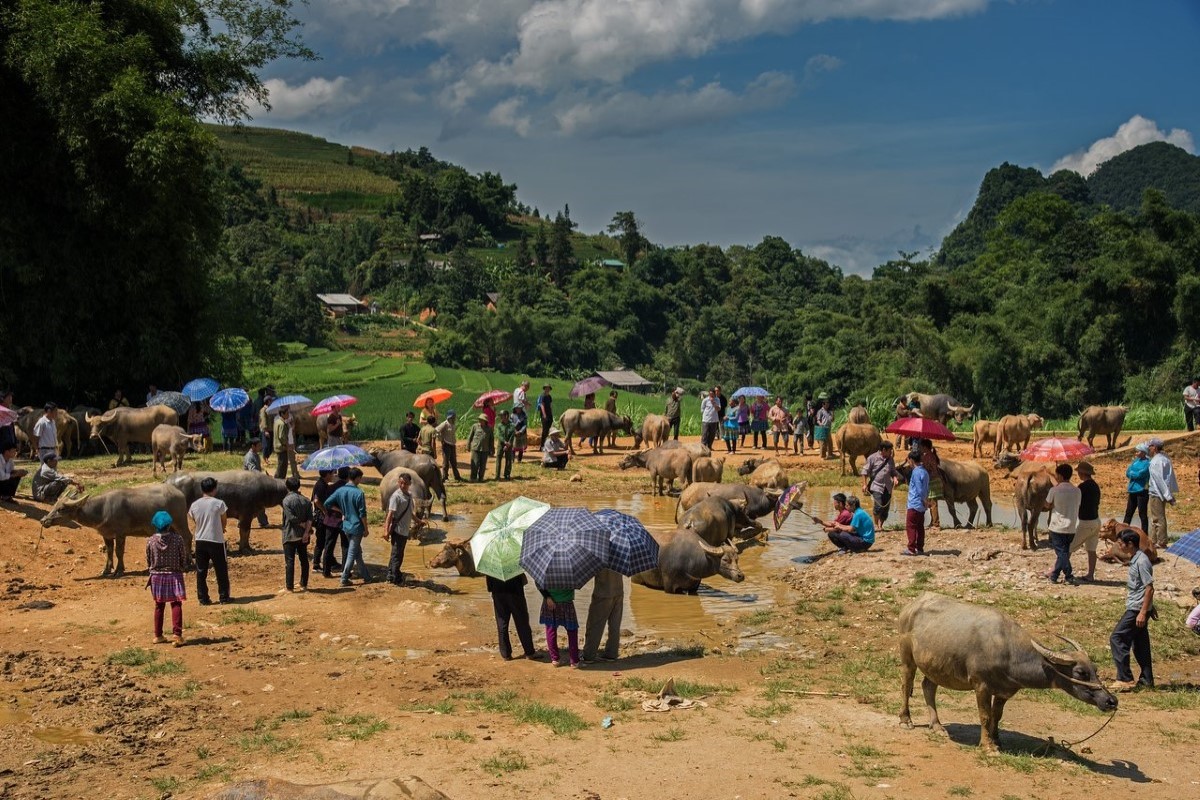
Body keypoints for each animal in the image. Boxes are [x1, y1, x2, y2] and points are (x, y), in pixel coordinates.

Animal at [40, 482, 192, 575]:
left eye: (61, 509)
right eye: (55, 505)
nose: (43, 520)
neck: (102, 510)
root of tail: (179, 493)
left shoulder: (120, 533)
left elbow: (119, 552)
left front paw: (119, 570)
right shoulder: (106, 535)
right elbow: (109, 552)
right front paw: (106, 570)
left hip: (180, 522)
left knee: (187, 537)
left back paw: (187, 563)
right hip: (171, 527)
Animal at [902, 592, 1113, 753]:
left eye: (1095, 669)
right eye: (1080, 672)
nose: (1111, 701)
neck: (1009, 651)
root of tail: (913, 604)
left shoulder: (1005, 691)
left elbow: (997, 715)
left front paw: (996, 740)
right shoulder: (981, 686)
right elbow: (985, 715)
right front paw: (988, 746)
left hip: (935, 666)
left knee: (928, 686)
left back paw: (937, 726)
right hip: (907, 658)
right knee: (907, 685)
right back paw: (906, 720)